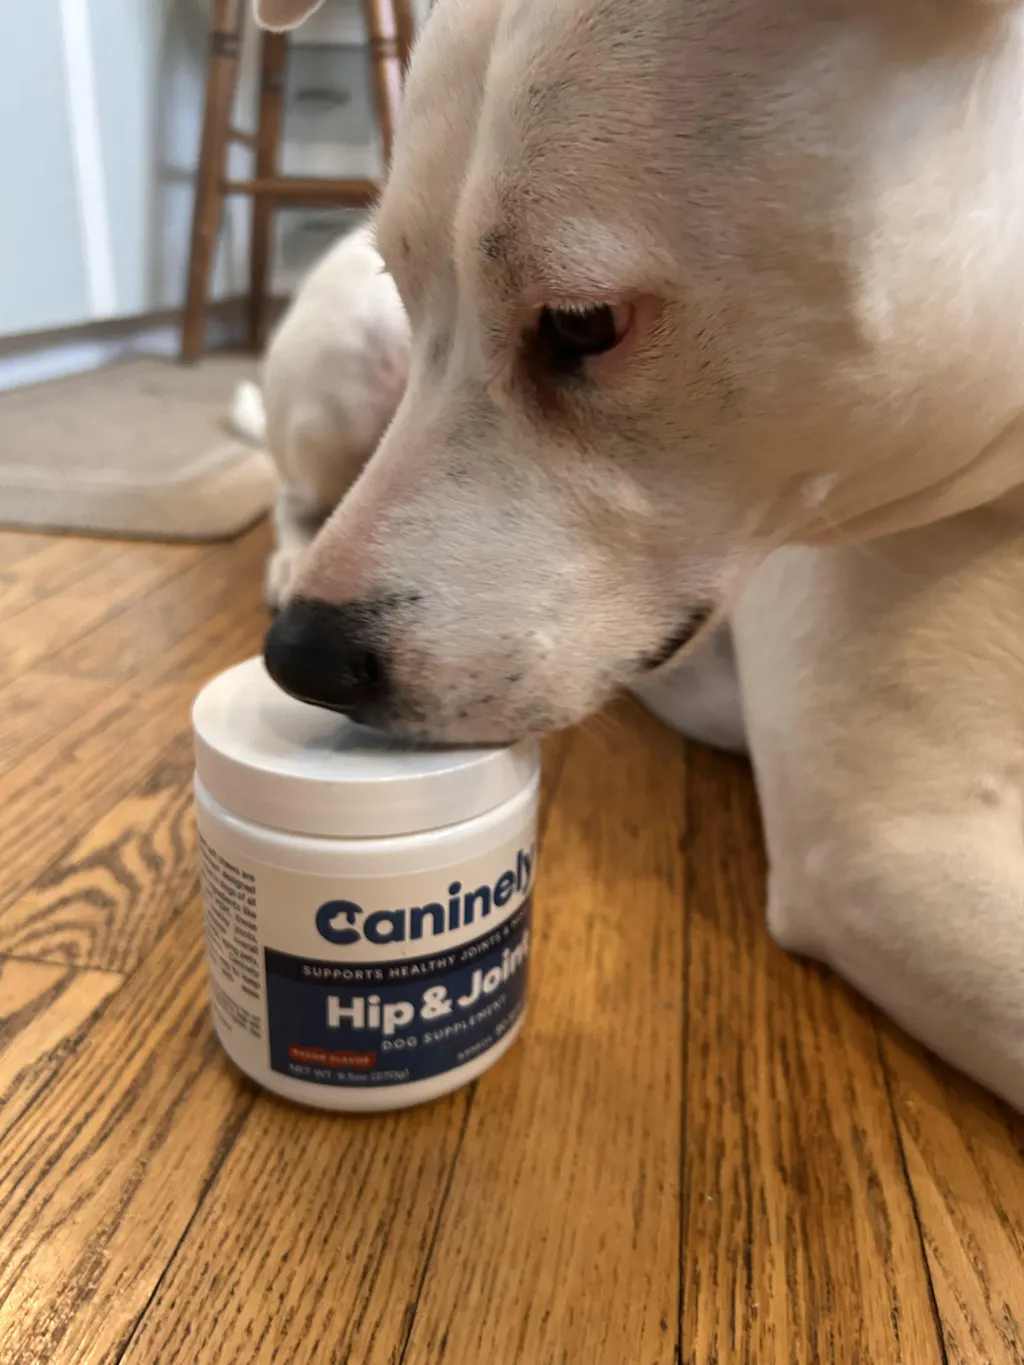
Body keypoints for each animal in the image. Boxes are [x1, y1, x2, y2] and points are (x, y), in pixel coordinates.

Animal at [252, 0, 1024, 1111]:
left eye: (584, 323)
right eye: (407, 283)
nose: (298, 660)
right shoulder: (889, 846)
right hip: (340, 372)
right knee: (288, 485)